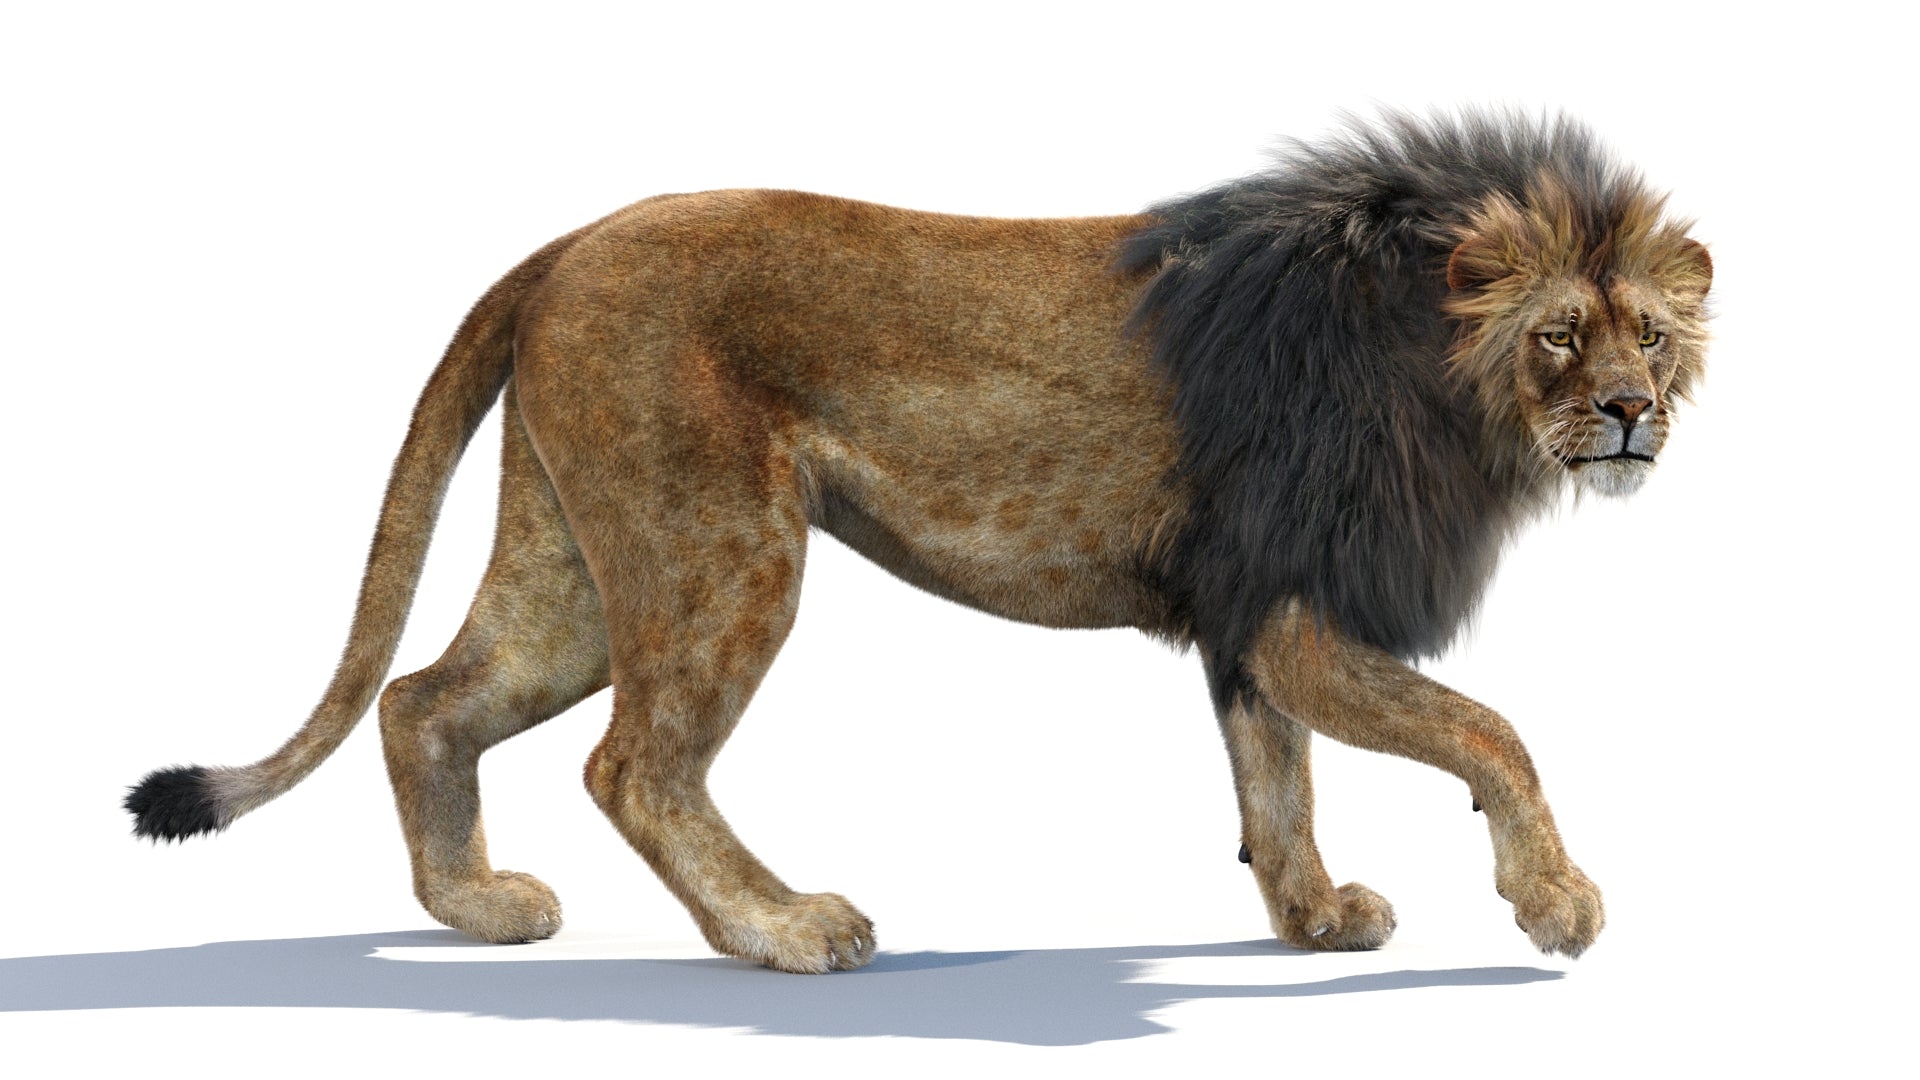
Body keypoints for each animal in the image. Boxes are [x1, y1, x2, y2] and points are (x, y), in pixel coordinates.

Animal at [127, 112, 1711, 973]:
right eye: (1562, 333)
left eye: (1652, 332)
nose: (1633, 414)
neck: (1435, 361)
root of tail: (563, 248)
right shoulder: (1294, 601)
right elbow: (1493, 732)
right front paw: (1557, 904)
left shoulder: (1250, 606)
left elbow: (1280, 785)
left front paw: (1313, 918)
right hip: (724, 547)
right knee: (632, 762)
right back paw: (783, 930)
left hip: (573, 563)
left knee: (424, 702)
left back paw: (473, 906)